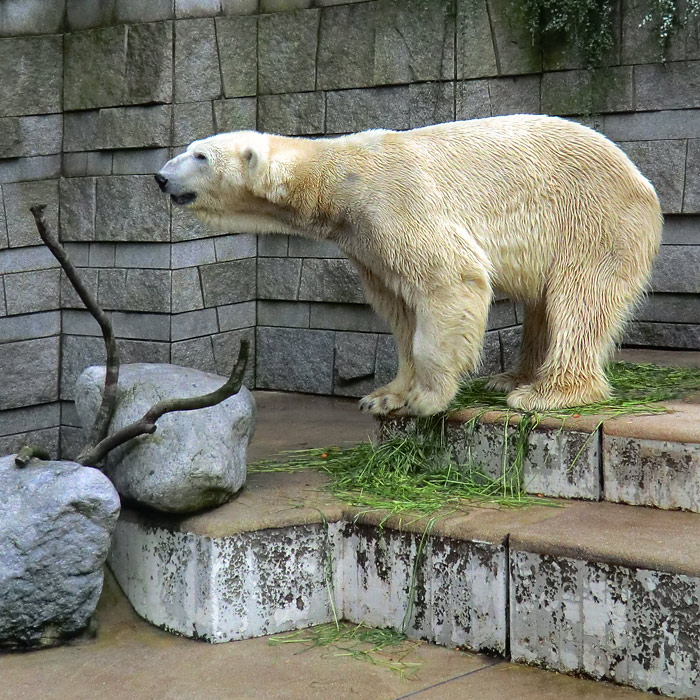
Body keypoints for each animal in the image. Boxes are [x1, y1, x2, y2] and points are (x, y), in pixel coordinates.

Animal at [156, 115, 664, 416]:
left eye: (200, 155)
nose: (160, 176)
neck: (339, 180)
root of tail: (641, 178)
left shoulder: (397, 204)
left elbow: (447, 281)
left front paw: (427, 399)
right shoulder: (365, 241)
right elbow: (398, 309)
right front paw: (384, 396)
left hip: (592, 220)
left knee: (580, 299)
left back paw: (547, 392)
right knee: (545, 305)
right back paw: (511, 377)